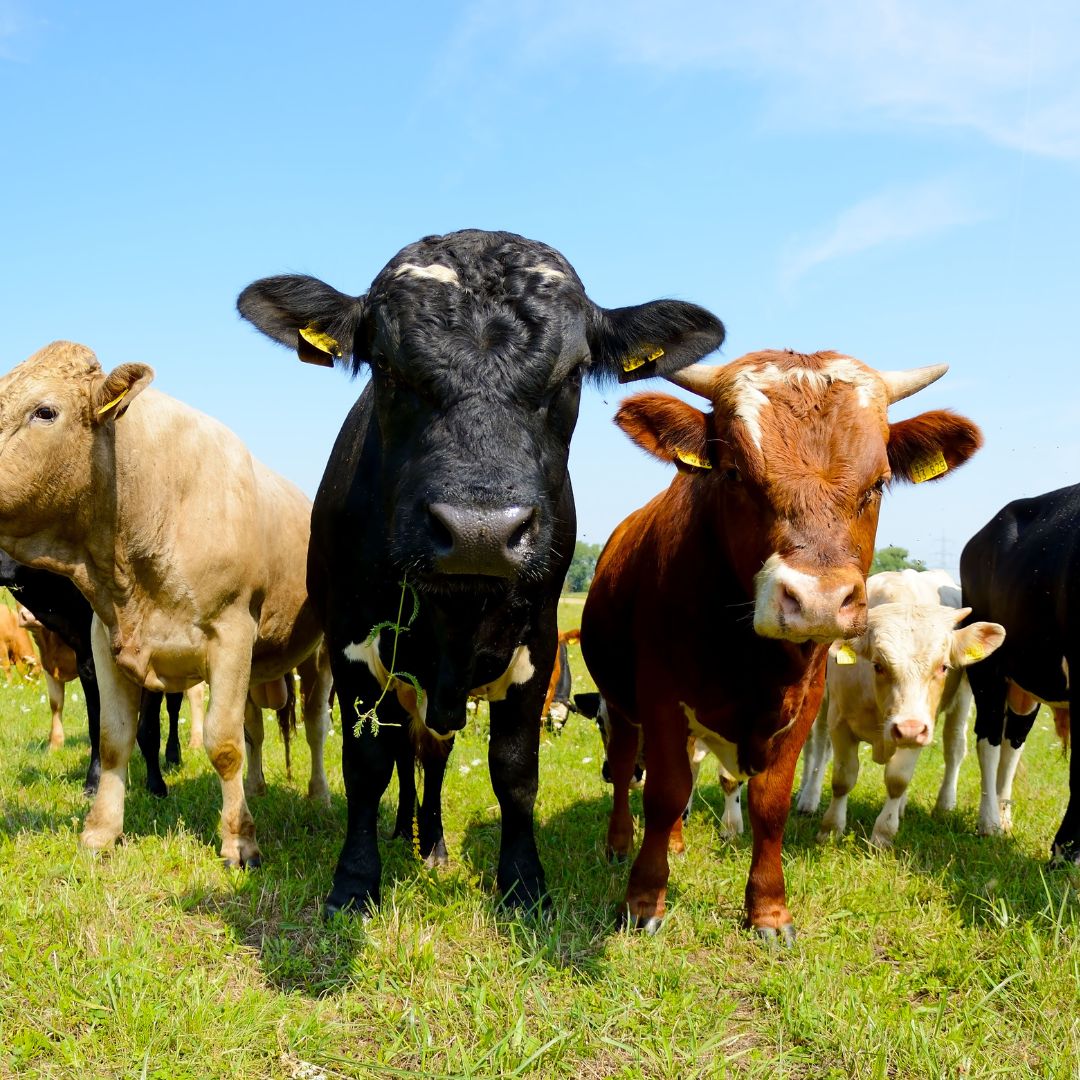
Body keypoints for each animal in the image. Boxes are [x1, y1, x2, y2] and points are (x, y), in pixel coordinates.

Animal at [0, 341, 332, 864]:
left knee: (316, 724)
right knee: (256, 728)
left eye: (44, 411)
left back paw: (319, 797)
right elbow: (114, 738)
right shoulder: (104, 639)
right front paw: (101, 831)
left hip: (320, 651)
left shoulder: (232, 634)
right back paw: (258, 787)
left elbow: (222, 743)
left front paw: (240, 840)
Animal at [236, 225, 725, 911]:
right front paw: (355, 880)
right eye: (386, 367)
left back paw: (432, 841)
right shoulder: (352, 644)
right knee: (407, 751)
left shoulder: (537, 648)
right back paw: (406, 830)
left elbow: (515, 770)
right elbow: (367, 765)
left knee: (433, 754)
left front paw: (522, 883)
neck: (456, 614)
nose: (478, 532)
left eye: (573, 373)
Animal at [799, 570, 1006, 846]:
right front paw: (830, 829)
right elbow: (842, 778)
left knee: (954, 747)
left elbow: (898, 780)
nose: (908, 728)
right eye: (877, 665)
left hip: (962, 699)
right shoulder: (840, 721)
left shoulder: (922, 725)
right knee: (819, 745)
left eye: (943, 667)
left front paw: (883, 835)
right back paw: (808, 797)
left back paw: (939, 805)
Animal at [959, 486, 1075, 864]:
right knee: (989, 738)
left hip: (1027, 683)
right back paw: (989, 822)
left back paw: (1004, 815)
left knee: (1013, 743)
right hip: (988, 668)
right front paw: (1064, 853)